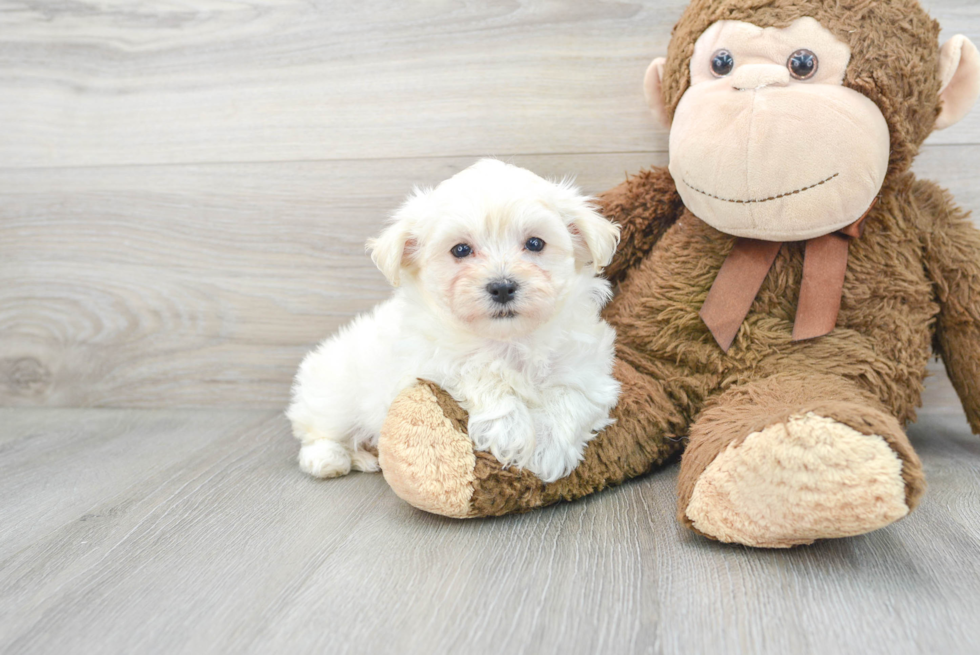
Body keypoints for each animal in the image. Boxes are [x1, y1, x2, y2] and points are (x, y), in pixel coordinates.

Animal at [288, 159, 620, 484]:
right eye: (460, 249)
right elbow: (478, 372)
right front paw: (510, 430)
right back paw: (330, 459)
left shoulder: (587, 369)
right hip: (335, 395)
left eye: (536, 244)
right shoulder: (429, 364)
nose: (502, 287)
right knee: (317, 433)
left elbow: (570, 394)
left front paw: (548, 447)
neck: (508, 340)